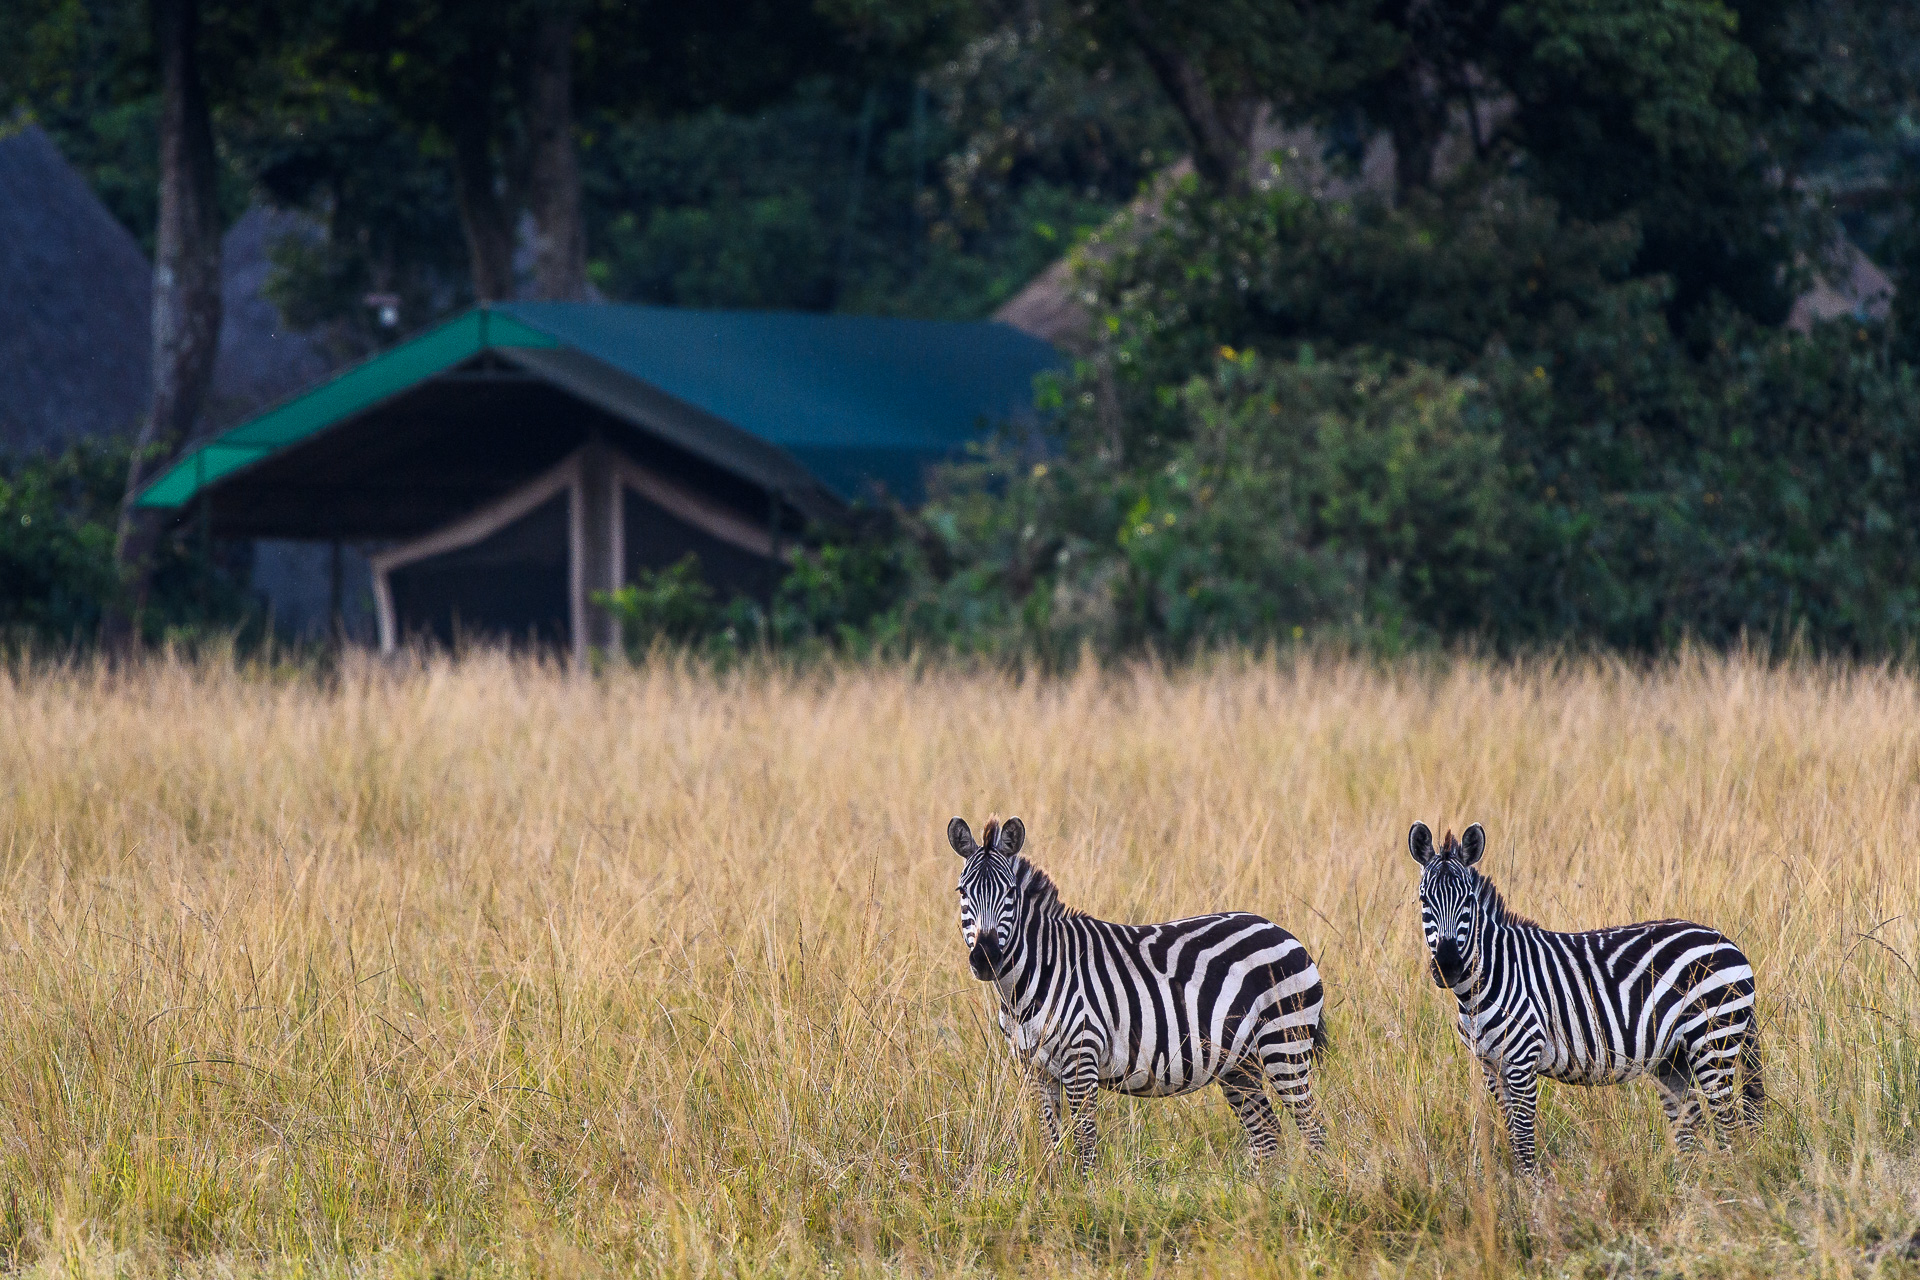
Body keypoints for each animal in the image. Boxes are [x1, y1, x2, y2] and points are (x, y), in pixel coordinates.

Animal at [949, 814, 1327, 1170]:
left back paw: (1319, 1189)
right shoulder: (1035, 1069)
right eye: (962, 892)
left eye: (1010, 893)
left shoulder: (1081, 1056)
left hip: (1284, 1042)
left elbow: (1085, 1141)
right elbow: (1050, 1142)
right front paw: (1056, 1189)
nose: (985, 959)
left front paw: (1086, 1193)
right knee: (1266, 1133)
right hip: (1239, 1063)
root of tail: (1281, 930)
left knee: (1312, 1128)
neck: (1027, 982)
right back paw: (1261, 1194)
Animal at [1409, 820, 1762, 1172]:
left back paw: (1731, 1183)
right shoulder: (1491, 1067)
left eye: (1468, 902)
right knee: (1692, 1132)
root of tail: (1727, 942)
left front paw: (1531, 1189)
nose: (1448, 967)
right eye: (1424, 900)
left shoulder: (1522, 1060)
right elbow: (1513, 1139)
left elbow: (1523, 1142)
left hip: (1715, 1041)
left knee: (1729, 1128)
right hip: (1672, 1058)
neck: (1485, 983)